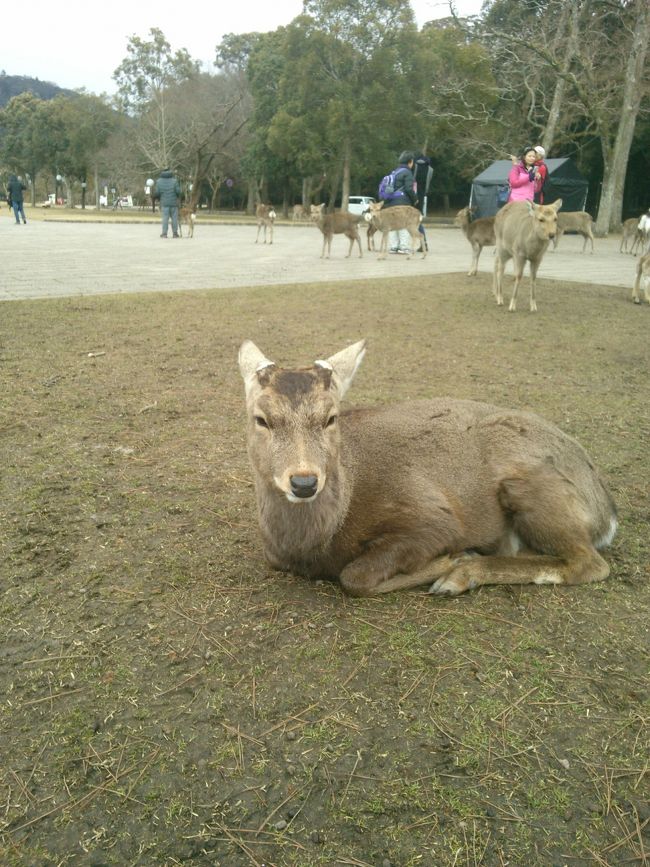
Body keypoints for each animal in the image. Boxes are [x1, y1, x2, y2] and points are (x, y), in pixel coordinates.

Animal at [238, 339, 617, 598]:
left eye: (331, 417)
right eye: (261, 419)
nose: (303, 482)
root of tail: (607, 512)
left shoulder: (432, 514)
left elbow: (355, 576)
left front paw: (453, 559)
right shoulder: (273, 555)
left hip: (535, 487)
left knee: (590, 562)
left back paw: (461, 576)